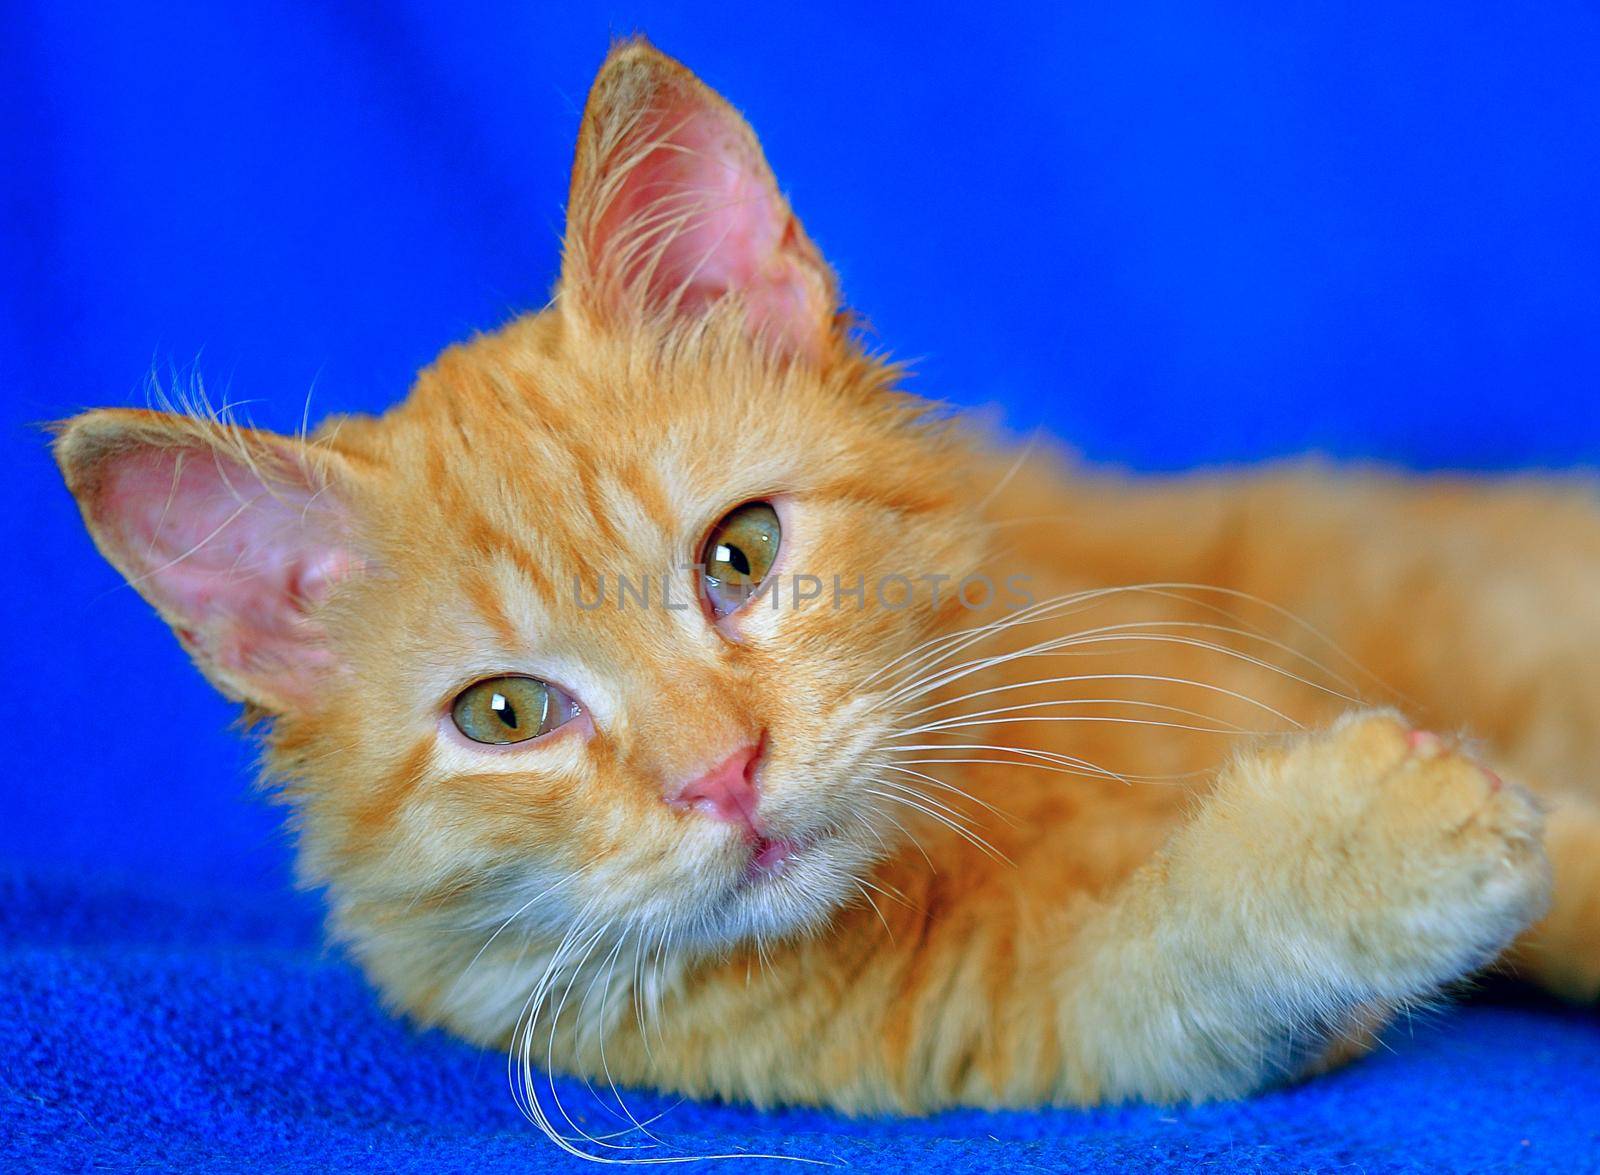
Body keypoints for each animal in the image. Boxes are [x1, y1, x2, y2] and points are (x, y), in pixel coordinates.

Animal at [53, 39, 1600, 1158]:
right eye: (503, 714)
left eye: (738, 555)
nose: (723, 774)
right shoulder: (1031, 1015)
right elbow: (1186, 953)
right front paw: (1362, 845)